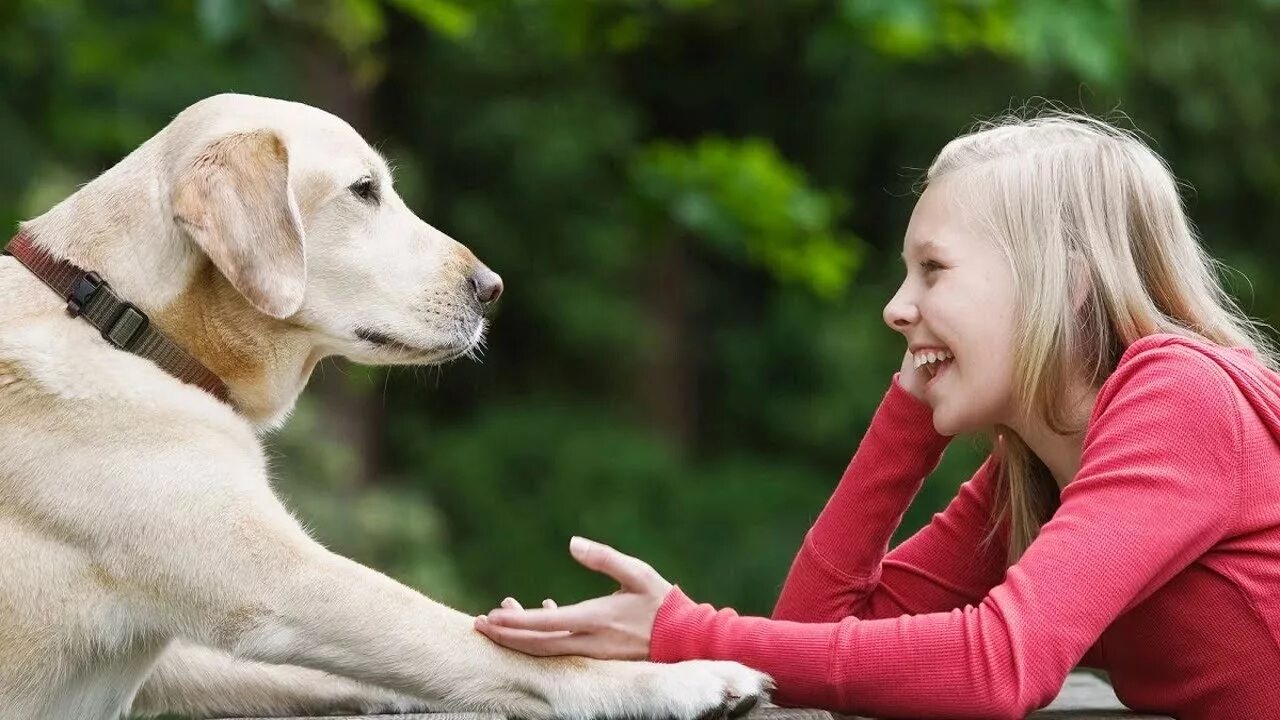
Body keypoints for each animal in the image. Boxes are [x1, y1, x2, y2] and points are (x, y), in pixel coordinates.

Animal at [0, 95, 768, 717]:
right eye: (364, 191)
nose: (492, 287)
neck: (119, 316)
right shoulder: (284, 585)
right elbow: (481, 645)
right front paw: (682, 678)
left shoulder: (177, 661)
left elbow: (378, 673)